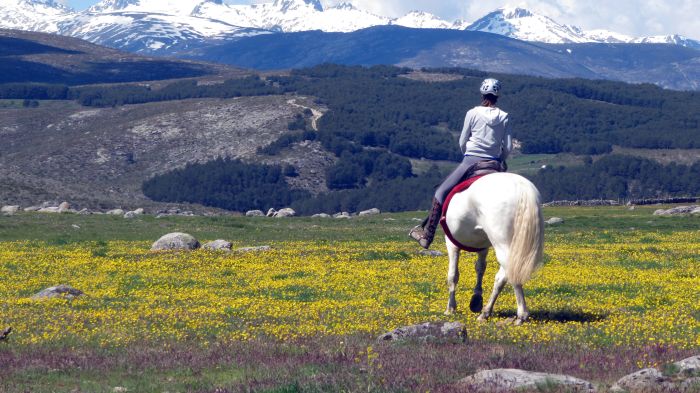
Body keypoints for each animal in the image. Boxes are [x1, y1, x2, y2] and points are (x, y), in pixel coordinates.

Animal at [440, 172, 544, 324]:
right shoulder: (483, 247)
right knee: (502, 277)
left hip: (502, 245)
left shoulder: (452, 244)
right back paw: (485, 312)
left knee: (510, 274)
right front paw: (476, 300)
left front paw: (450, 308)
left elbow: (453, 275)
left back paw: (521, 315)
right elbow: (480, 268)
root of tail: (522, 188)